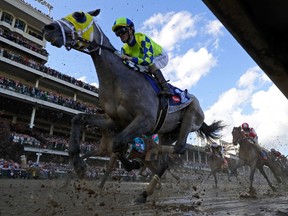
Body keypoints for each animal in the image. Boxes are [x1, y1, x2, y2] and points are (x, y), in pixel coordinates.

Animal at [42, 8, 225, 203]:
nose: (49, 28)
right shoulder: (113, 121)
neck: (117, 79)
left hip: (190, 118)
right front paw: (79, 164)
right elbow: (79, 119)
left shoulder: (145, 120)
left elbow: (118, 143)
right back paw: (144, 193)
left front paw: (132, 163)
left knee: (179, 148)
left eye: (79, 15)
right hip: (167, 133)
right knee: (165, 160)